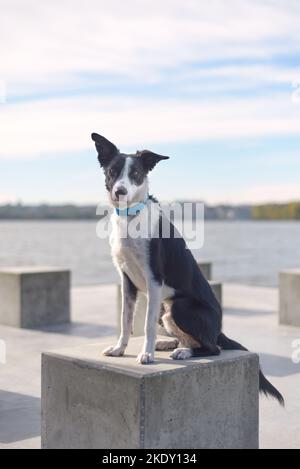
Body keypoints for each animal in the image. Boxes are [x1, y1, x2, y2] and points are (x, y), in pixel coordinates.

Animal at [91, 133, 284, 406]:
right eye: (112, 172)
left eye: (136, 173)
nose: (120, 191)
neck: (131, 217)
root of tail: (219, 329)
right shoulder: (126, 280)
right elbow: (125, 320)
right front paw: (120, 349)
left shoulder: (154, 280)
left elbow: (146, 325)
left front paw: (146, 354)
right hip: (165, 310)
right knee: (192, 339)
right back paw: (171, 345)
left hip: (178, 306)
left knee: (213, 348)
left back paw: (184, 352)